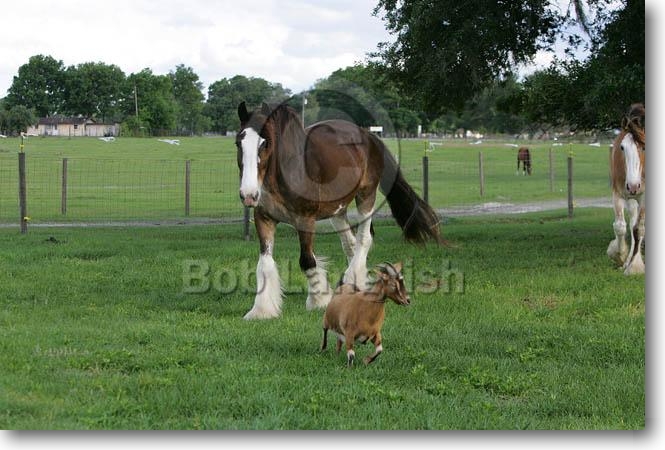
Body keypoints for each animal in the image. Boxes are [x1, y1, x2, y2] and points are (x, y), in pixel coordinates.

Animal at [233, 102, 440, 320]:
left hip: (366, 196)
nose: (248, 195)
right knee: (350, 243)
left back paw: (351, 279)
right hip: (337, 211)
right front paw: (261, 310)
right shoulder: (264, 219)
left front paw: (319, 300)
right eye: (239, 142)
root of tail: (369, 135)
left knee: (364, 239)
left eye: (265, 143)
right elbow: (264, 264)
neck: (288, 170)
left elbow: (307, 260)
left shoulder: (305, 219)